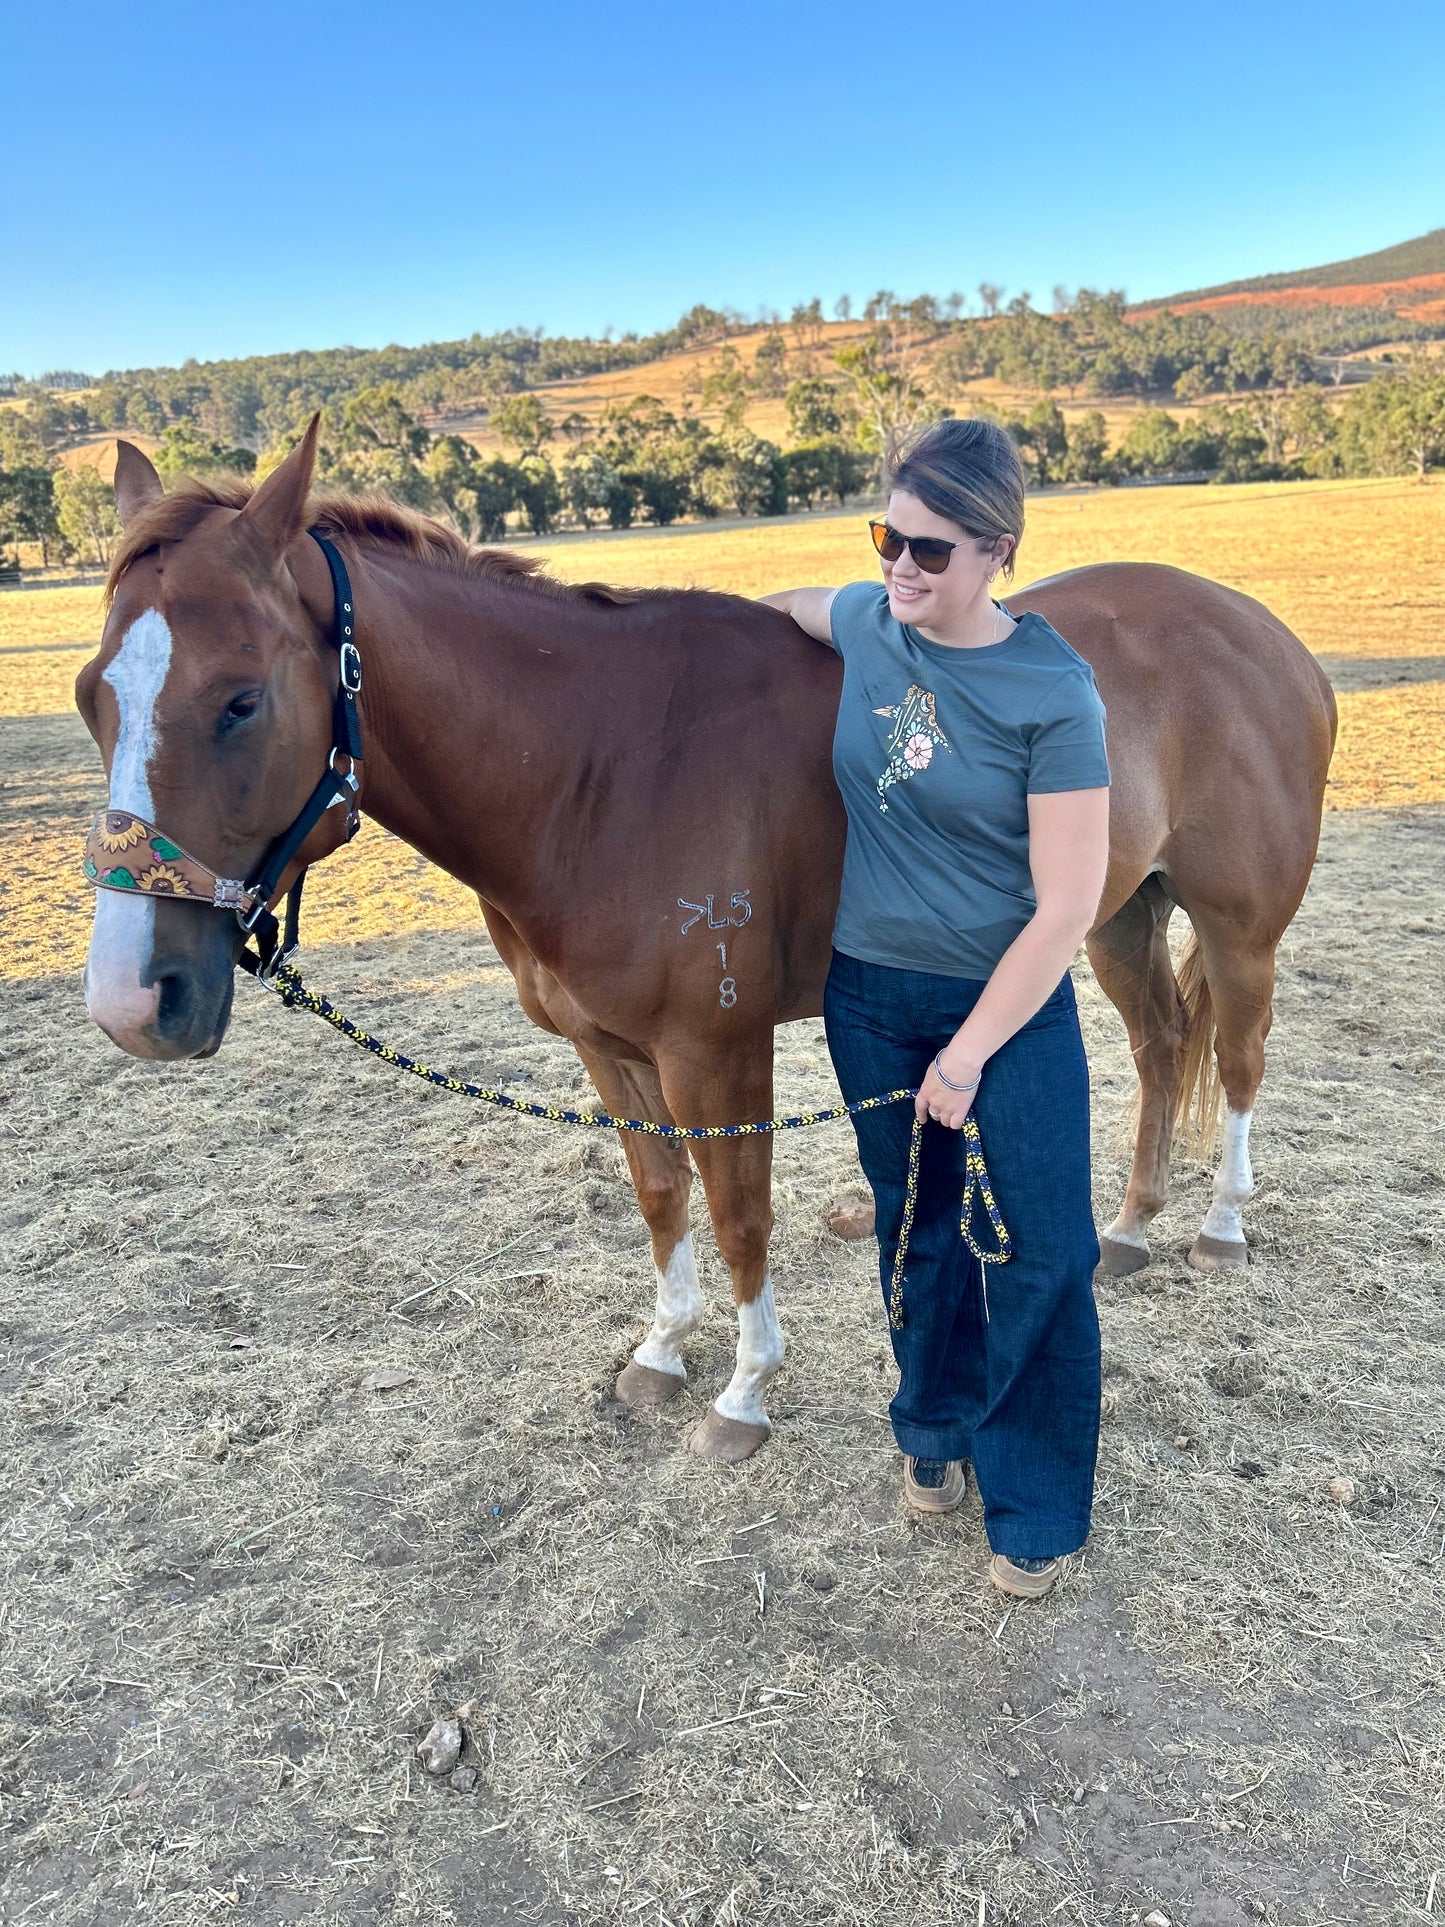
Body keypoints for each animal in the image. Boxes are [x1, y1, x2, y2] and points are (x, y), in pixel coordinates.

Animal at [78, 429, 1340, 1456]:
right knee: (1161, 1044)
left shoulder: (711, 1052)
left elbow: (737, 1213)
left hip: (1234, 927)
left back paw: (1219, 1226)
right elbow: (659, 1195)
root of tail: (1262, 633)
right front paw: (661, 1349)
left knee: (1234, 1057)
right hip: (1117, 913)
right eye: (95, 695)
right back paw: (1126, 1227)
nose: (135, 1001)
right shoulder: (608, 1048)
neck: (599, 768)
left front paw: (744, 1392)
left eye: (239, 700)